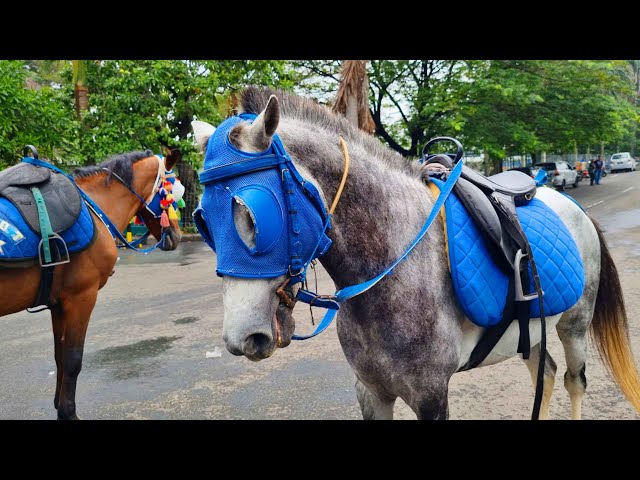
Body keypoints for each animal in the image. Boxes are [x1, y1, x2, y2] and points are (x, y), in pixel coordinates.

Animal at [0, 148, 182, 418]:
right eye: (172, 193)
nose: (177, 235)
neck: (94, 206)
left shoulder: (58, 303)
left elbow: (60, 356)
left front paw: (59, 404)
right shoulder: (81, 298)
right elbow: (73, 360)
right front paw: (68, 411)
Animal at [192, 87, 640, 420]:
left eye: (252, 214)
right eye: (203, 220)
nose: (242, 337)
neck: (392, 269)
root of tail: (568, 203)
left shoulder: (430, 394)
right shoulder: (370, 390)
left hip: (574, 326)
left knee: (572, 380)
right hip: (530, 331)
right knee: (544, 374)